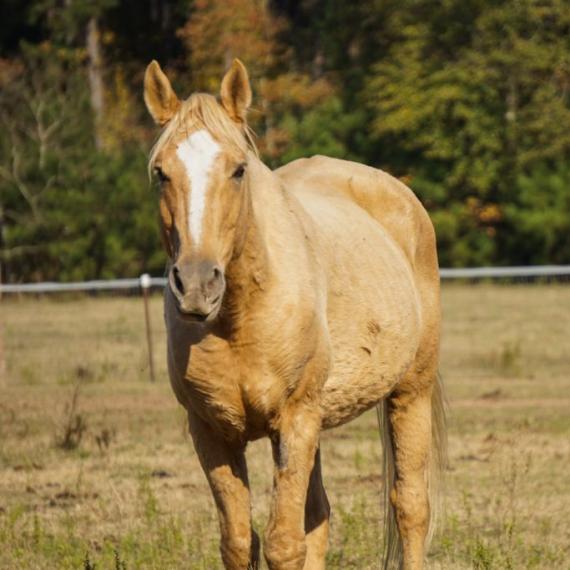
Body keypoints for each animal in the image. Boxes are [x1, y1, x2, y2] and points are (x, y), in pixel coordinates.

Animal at [142, 58, 444, 568]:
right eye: (161, 173)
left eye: (238, 170)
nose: (198, 284)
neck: (239, 320)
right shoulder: (211, 432)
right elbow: (240, 542)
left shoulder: (295, 420)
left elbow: (284, 544)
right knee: (319, 517)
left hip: (410, 391)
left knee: (410, 506)